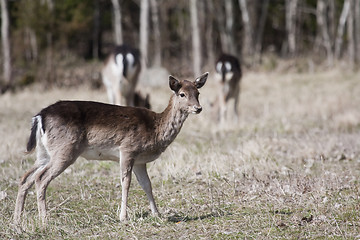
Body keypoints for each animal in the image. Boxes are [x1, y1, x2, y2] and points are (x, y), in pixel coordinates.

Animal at [14, 72, 208, 228]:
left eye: (198, 93)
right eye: (182, 94)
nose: (198, 108)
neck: (155, 129)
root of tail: (40, 117)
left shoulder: (140, 161)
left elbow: (147, 185)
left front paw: (157, 214)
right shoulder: (128, 149)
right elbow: (126, 182)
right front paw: (124, 217)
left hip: (44, 153)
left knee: (25, 177)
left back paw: (17, 220)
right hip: (65, 149)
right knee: (40, 178)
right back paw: (44, 220)